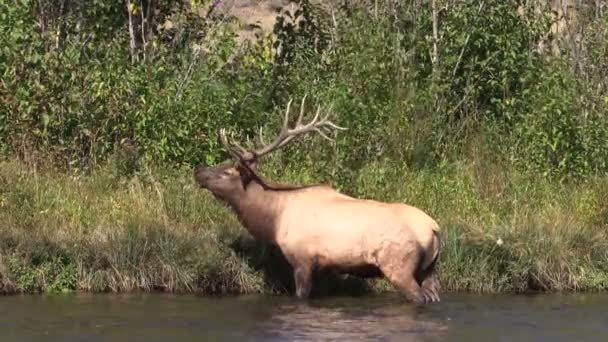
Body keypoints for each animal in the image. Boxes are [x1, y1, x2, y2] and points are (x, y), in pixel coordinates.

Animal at [195, 97, 442, 304]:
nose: (198, 170)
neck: (273, 220)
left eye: (227, 172)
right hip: (429, 269)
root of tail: (434, 228)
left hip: (398, 265)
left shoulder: (302, 258)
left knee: (418, 296)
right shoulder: (324, 266)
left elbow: (300, 295)